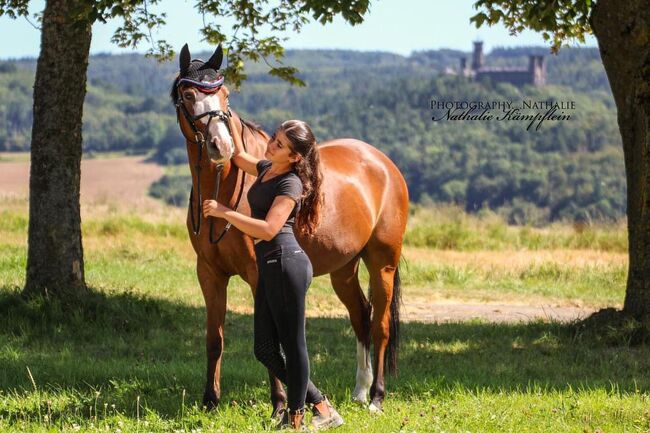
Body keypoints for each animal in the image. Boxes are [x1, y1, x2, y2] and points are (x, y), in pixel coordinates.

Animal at [170, 44, 408, 412]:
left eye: (225, 94)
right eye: (189, 93)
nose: (221, 147)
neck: (225, 189)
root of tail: (383, 164)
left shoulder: (259, 275)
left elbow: (272, 338)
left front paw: (280, 404)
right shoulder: (209, 273)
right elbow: (214, 338)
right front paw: (210, 400)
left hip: (382, 262)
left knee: (380, 325)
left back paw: (376, 397)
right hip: (344, 269)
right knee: (361, 317)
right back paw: (359, 390)